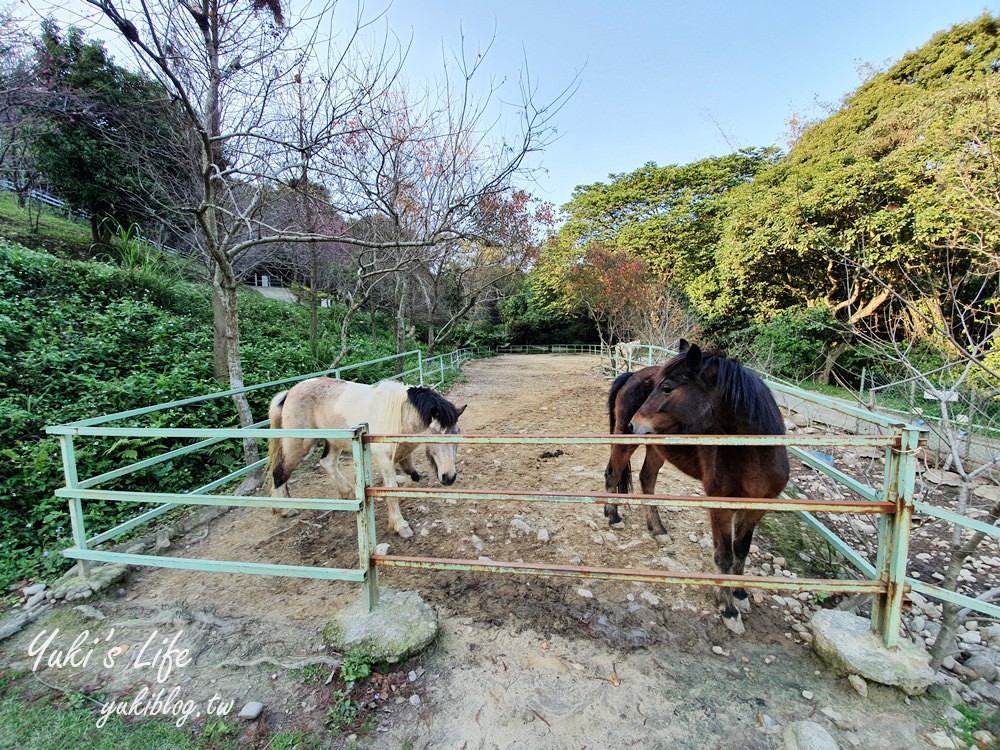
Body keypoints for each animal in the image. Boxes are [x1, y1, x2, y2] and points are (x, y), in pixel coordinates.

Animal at [266, 378, 468, 536]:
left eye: (457, 434)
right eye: (436, 434)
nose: (449, 477)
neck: (400, 415)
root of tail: (289, 393)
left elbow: (410, 477)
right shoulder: (385, 460)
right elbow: (391, 489)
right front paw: (399, 525)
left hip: (335, 441)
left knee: (327, 463)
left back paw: (347, 493)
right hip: (299, 444)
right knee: (280, 472)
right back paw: (285, 509)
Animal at [600, 344, 788, 636]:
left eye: (667, 388)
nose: (634, 423)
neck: (752, 454)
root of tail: (632, 374)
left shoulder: (757, 507)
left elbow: (742, 549)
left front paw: (740, 593)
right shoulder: (720, 507)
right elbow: (724, 555)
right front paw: (728, 609)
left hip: (656, 445)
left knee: (647, 480)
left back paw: (658, 530)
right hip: (626, 440)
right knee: (613, 473)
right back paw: (613, 516)